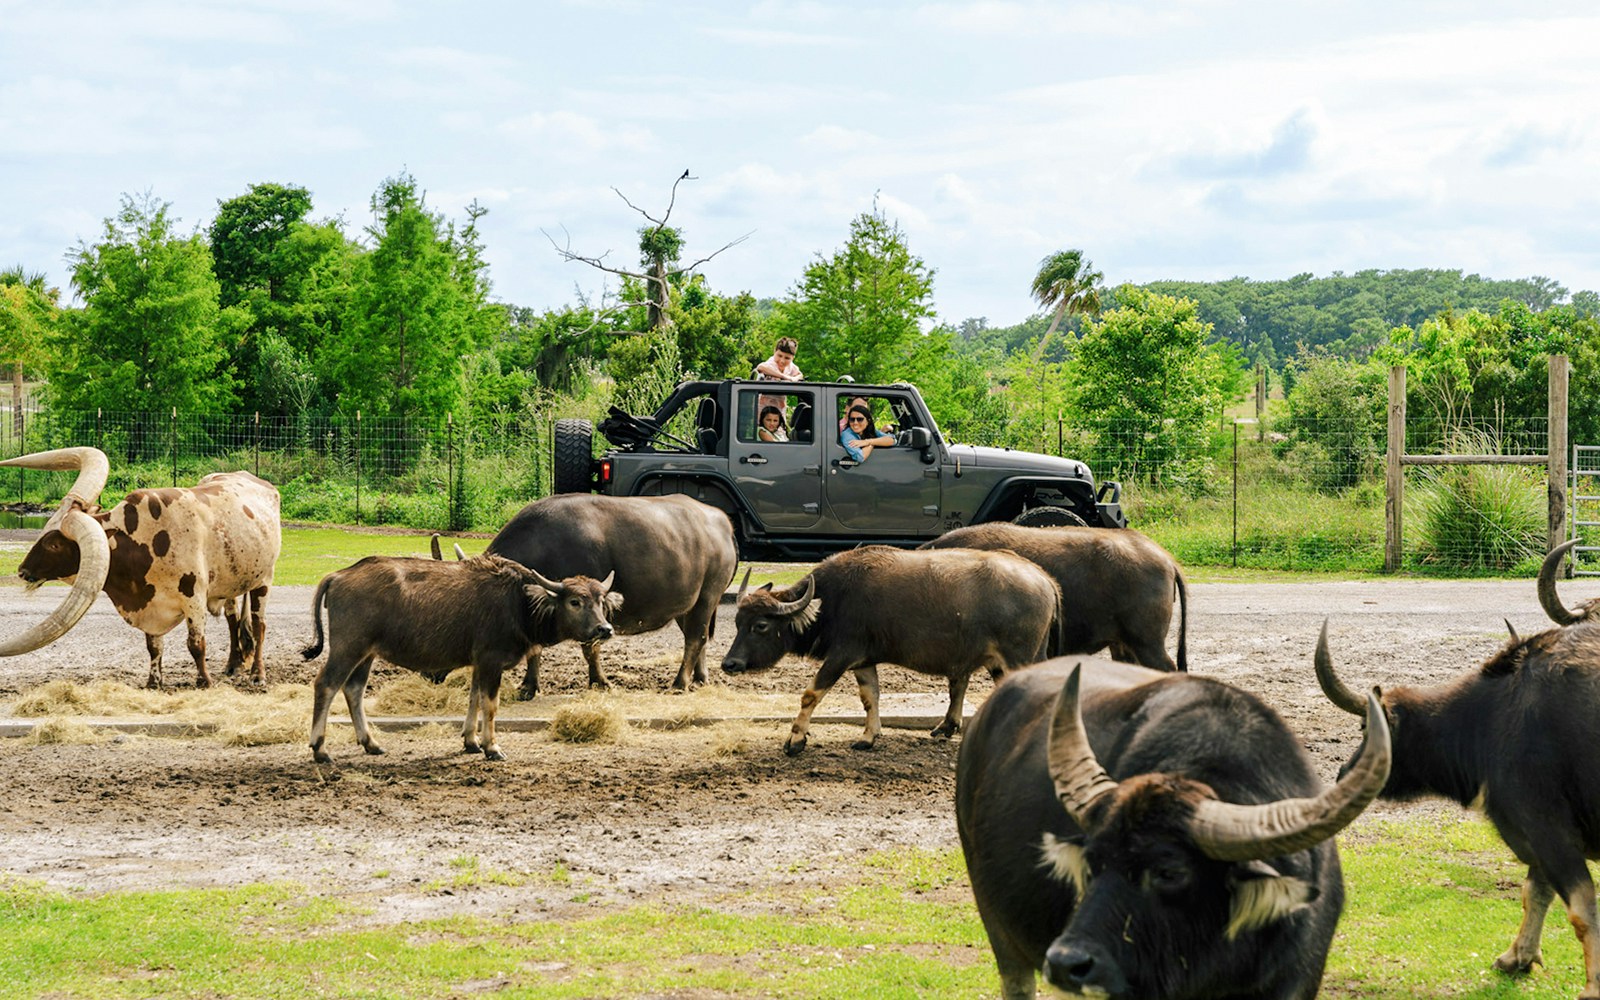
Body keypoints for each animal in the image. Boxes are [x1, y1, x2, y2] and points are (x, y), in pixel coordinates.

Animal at [0, 446, 281, 688]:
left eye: (54, 545)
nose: (22, 571)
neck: (143, 540)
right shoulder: (150, 604)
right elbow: (153, 646)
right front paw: (153, 682)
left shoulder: (194, 598)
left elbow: (196, 644)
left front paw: (204, 682)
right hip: (231, 583)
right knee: (233, 620)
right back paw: (233, 666)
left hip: (264, 580)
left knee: (259, 625)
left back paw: (257, 675)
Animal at [303, 554, 619, 763]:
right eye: (575, 601)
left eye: (600, 601)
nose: (604, 629)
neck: (518, 603)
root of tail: (339, 575)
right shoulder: (491, 661)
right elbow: (490, 705)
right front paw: (492, 747)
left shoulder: (479, 664)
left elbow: (474, 698)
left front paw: (471, 741)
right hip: (348, 647)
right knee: (326, 685)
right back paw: (320, 749)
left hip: (367, 653)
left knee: (353, 689)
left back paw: (370, 743)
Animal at [485, 494, 737, 694]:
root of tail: (723, 521)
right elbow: (535, 649)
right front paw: (529, 686)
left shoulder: (593, 612)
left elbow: (591, 648)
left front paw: (600, 682)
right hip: (688, 606)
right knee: (698, 637)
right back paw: (700, 678)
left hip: (707, 597)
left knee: (695, 638)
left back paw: (680, 683)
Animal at [721, 545, 1062, 755]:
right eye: (737, 622)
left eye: (760, 626)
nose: (729, 664)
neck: (832, 600)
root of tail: (1043, 579)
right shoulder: (862, 660)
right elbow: (870, 697)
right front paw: (868, 737)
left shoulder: (840, 656)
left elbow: (810, 694)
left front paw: (795, 740)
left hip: (1018, 657)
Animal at [1317, 548, 1600, 1000]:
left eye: (1365, 727)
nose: (1344, 771)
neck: (1493, 716)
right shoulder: (1542, 836)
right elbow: (1534, 892)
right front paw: (1516, 957)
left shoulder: (1547, 827)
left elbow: (1580, 910)